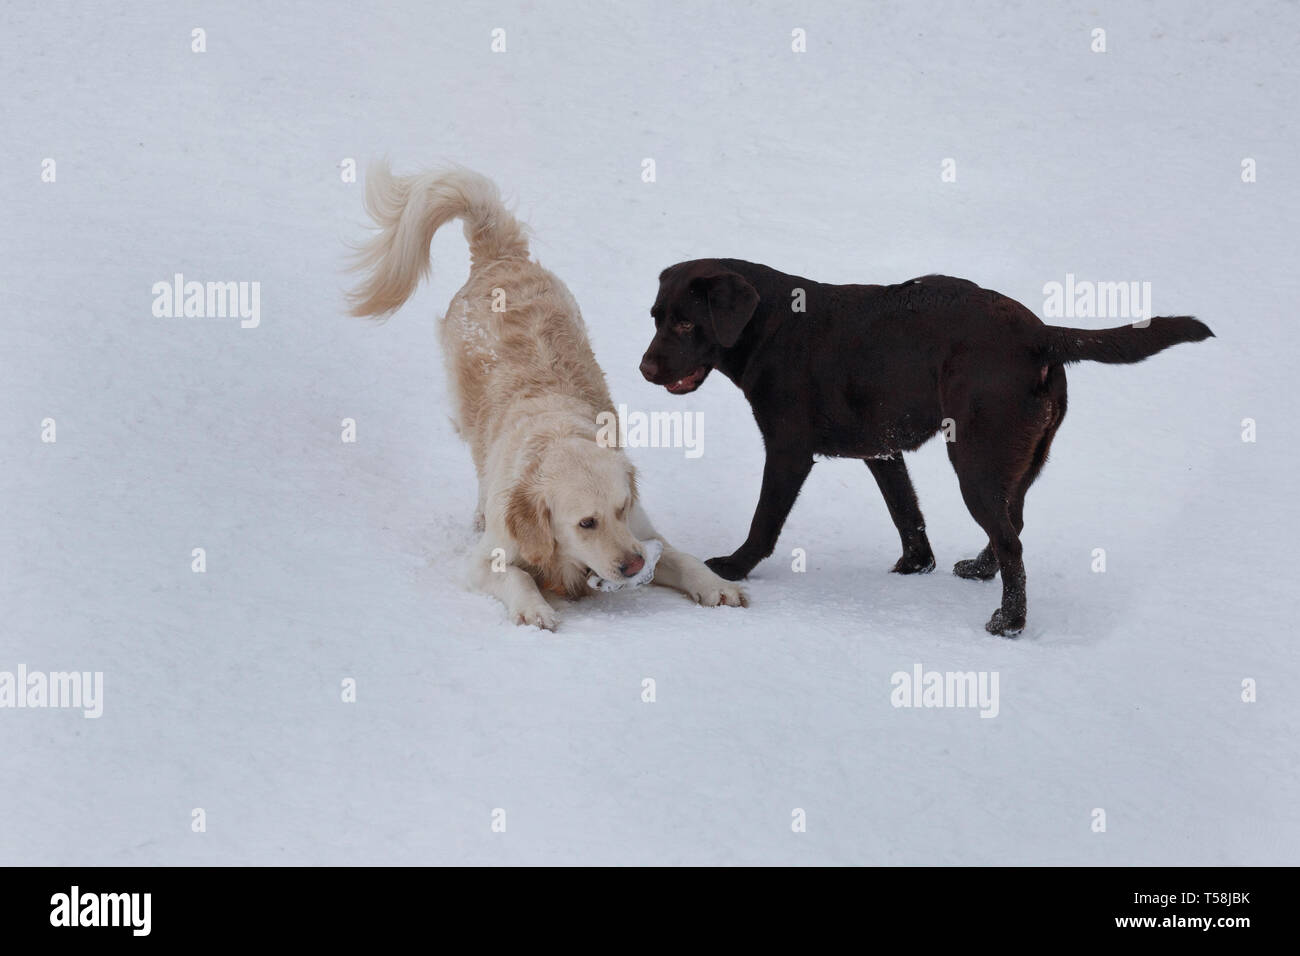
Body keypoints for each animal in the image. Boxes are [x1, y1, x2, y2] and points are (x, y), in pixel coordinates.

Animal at [351, 164, 748, 629]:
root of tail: (501, 256)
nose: (633, 565)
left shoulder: (645, 532)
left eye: (621, 509)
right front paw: (535, 609)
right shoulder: (484, 561)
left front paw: (717, 586)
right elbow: (518, 576)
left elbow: (685, 559)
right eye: (586, 523)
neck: (557, 433)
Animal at [634, 257, 1211, 639]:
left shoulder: (788, 450)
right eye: (656, 316)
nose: (644, 368)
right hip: (1018, 461)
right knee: (1013, 526)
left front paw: (733, 567)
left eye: (686, 322)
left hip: (974, 460)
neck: (773, 324)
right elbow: (906, 513)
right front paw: (916, 566)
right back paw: (979, 571)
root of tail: (1041, 334)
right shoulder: (882, 452)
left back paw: (1008, 622)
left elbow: (764, 521)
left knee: (1013, 541)